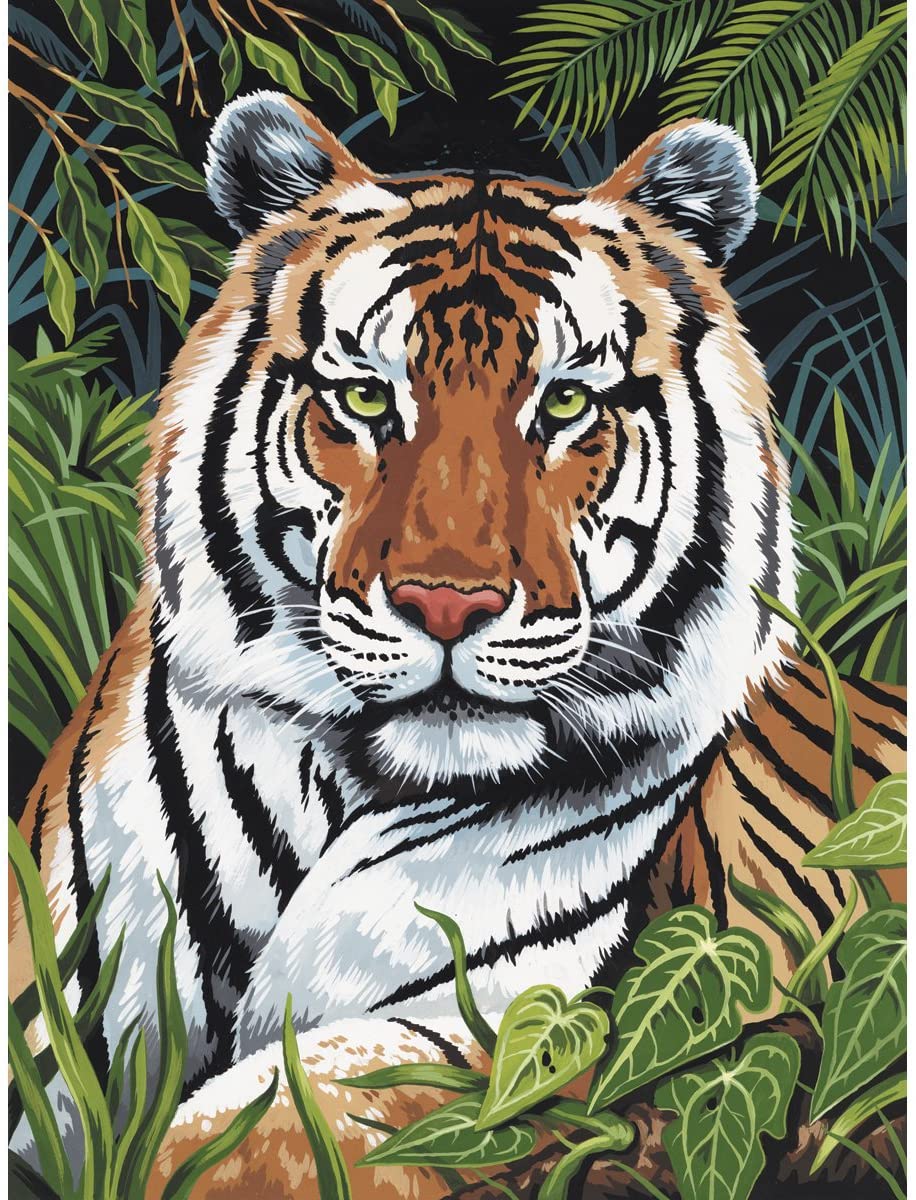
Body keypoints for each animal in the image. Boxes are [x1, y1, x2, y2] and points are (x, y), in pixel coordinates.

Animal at [10, 93, 905, 1196]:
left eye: (563, 402)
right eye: (364, 397)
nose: (446, 605)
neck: (340, 789)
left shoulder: (519, 1032)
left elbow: (275, 1123)